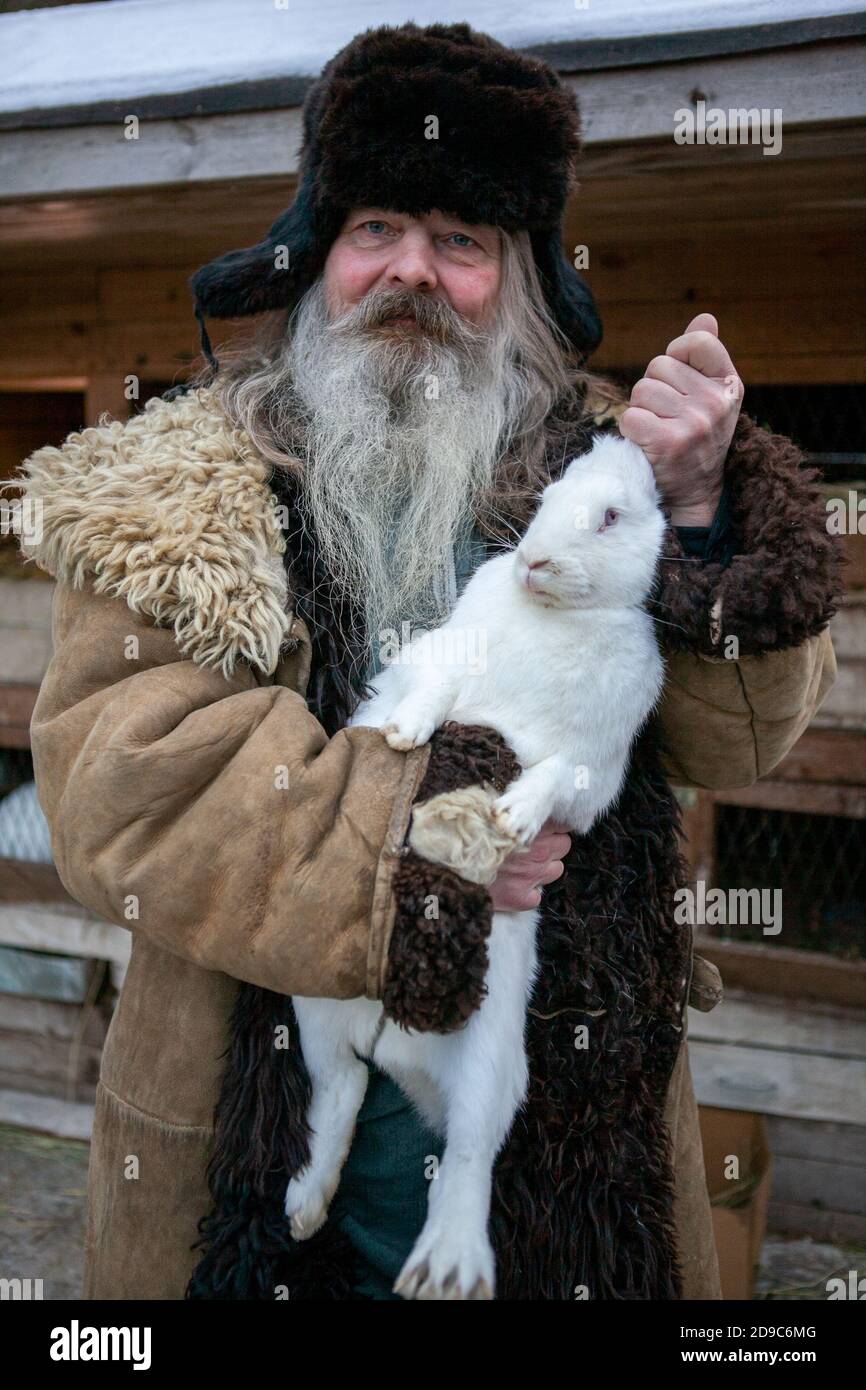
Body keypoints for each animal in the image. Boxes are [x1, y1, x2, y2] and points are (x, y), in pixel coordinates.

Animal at [287, 436, 667, 1301]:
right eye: (546, 499)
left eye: (612, 517)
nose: (533, 561)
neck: (558, 614)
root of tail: (394, 1038)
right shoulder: (445, 661)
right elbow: (433, 692)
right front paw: (404, 734)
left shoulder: (596, 764)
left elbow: (556, 773)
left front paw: (515, 817)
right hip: (316, 1004)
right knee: (341, 1092)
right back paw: (310, 1209)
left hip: (492, 1062)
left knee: (465, 1156)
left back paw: (444, 1265)